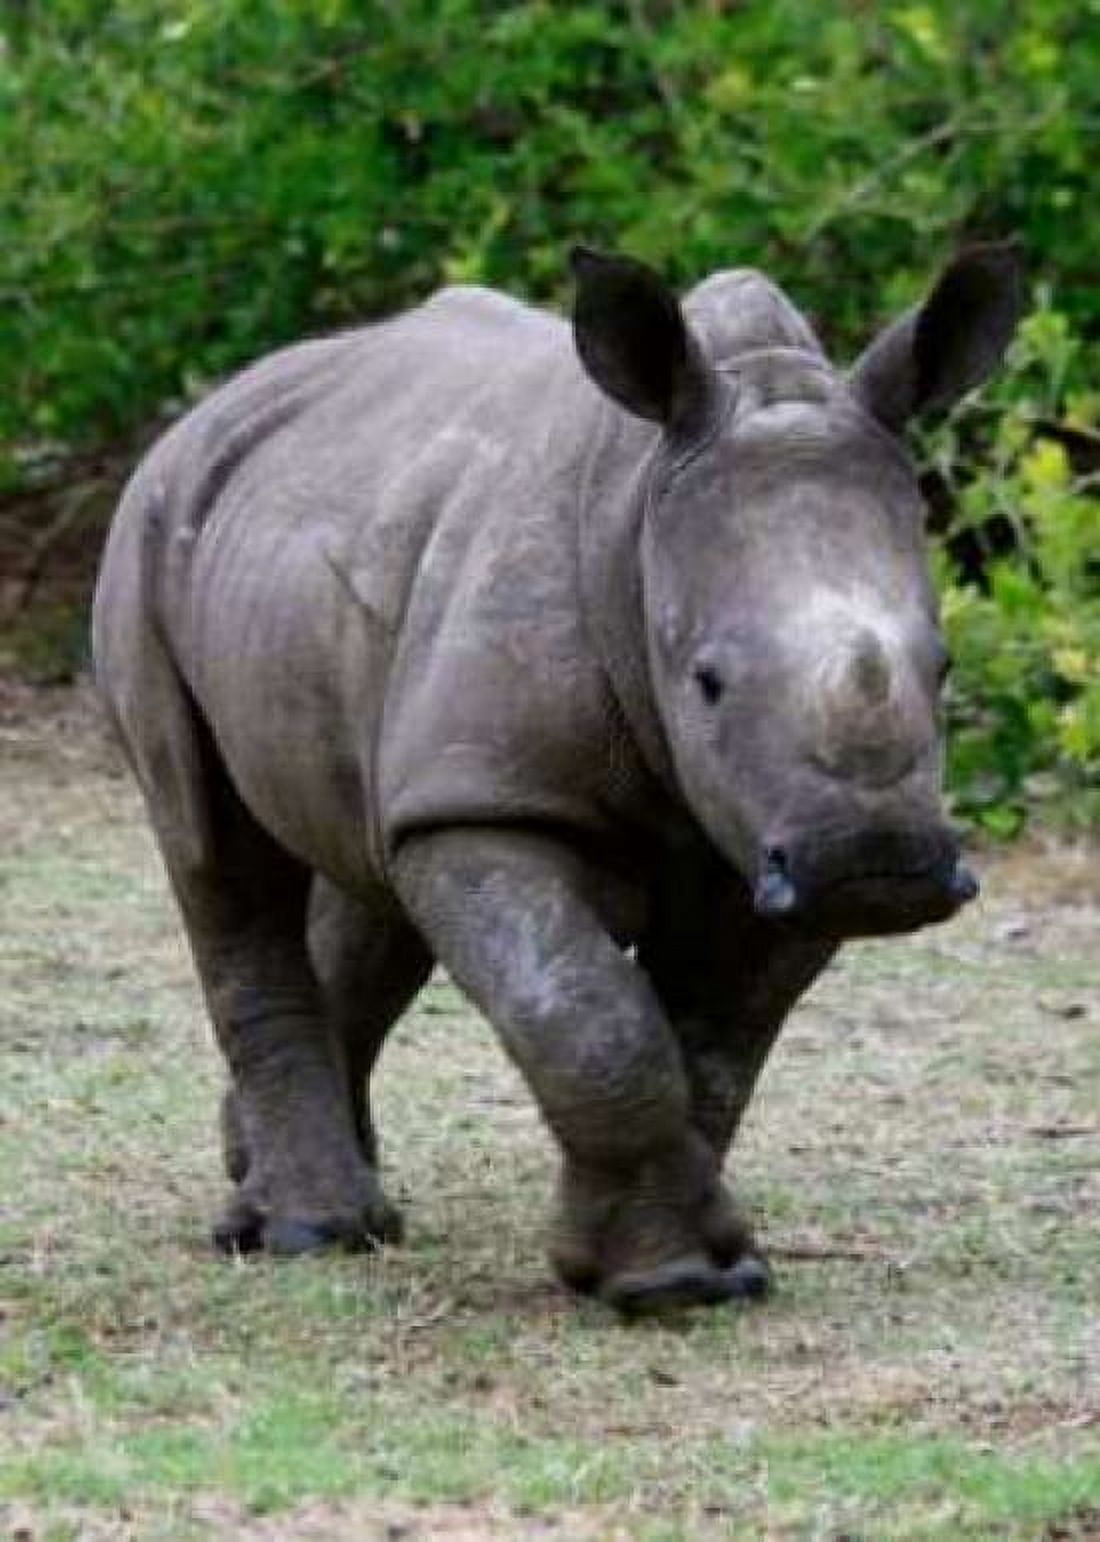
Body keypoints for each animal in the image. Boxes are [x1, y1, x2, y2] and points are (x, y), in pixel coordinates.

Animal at [93, 243, 1022, 1313]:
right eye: (706, 681)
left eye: (944, 668)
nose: (879, 862)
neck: (641, 522)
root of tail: (211, 406)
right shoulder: (495, 802)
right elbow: (589, 1016)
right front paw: (660, 1283)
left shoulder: (767, 835)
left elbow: (713, 1042)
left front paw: (703, 1267)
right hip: (152, 535)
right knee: (216, 854)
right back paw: (307, 1233)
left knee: (373, 869)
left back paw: (288, 1191)